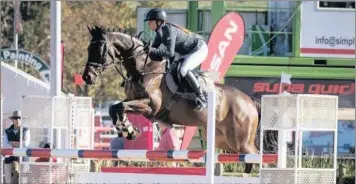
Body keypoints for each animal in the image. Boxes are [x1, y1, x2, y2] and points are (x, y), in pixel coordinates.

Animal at [82, 25, 276, 174]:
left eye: (99, 50)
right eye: (88, 49)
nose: (87, 77)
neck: (143, 69)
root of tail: (249, 101)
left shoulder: (150, 105)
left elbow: (120, 107)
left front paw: (128, 131)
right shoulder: (135, 101)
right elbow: (115, 107)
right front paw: (129, 130)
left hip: (241, 141)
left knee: (260, 158)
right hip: (226, 141)